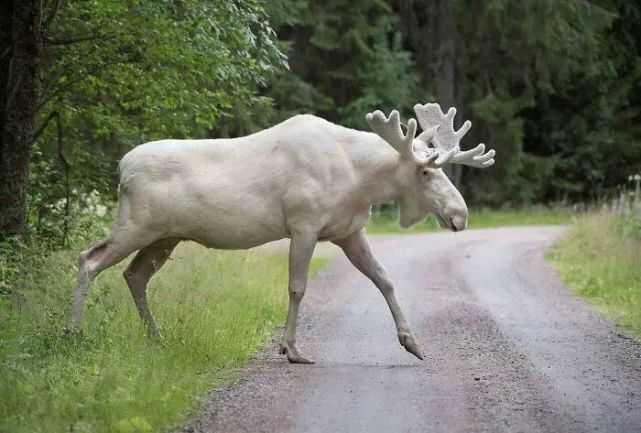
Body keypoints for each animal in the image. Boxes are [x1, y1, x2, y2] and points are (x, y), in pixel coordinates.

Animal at [70, 102, 495, 364]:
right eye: (425, 171)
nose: (460, 214)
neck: (361, 180)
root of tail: (121, 168)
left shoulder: (348, 231)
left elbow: (385, 279)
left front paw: (412, 342)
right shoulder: (303, 225)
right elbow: (297, 288)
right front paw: (291, 349)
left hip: (165, 236)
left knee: (134, 274)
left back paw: (156, 338)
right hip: (137, 225)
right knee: (88, 259)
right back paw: (73, 332)